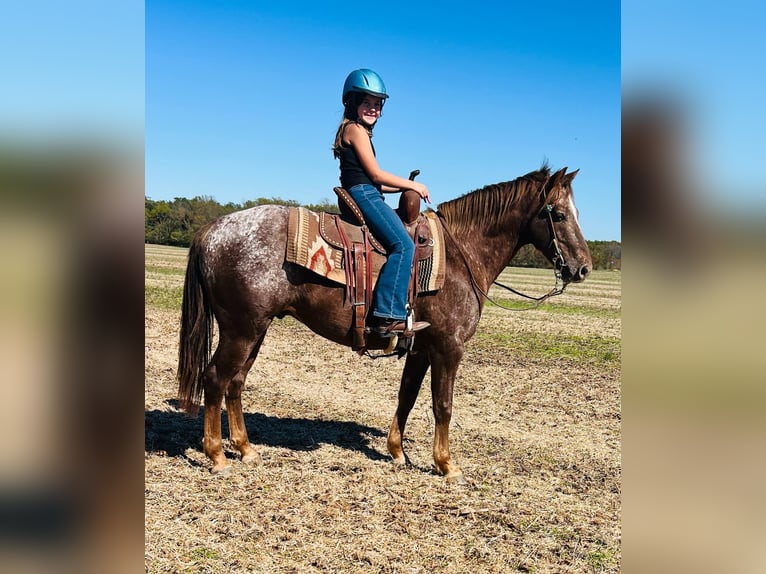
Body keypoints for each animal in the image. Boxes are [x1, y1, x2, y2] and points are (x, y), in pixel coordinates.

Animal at [178, 164, 592, 484]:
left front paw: (397, 451)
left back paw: (246, 449)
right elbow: (443, 404)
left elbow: (406, 396)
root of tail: (214, 229)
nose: (583, 268)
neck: (461, 256)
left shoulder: (421, 347)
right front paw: (447, 465)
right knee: (216, 379)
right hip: (241, 330)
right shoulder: (449, 347)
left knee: (236, 382)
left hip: (256, 330)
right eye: (557, 214)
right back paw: (217, 456)